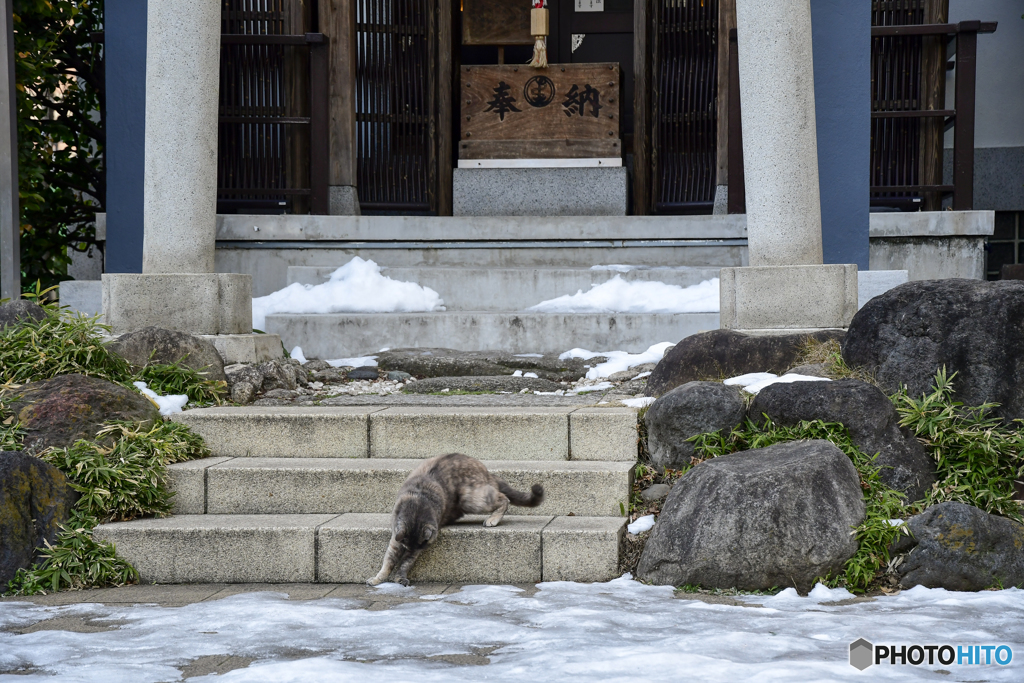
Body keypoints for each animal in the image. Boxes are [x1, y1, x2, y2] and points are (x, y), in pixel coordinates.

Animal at [366, 454, 544, 589]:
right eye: (407, 546)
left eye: (420, 547)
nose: (413, 549)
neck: (418, 504)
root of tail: (487, 471)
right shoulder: (397, 541)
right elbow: (388, 563)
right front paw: (380, 578)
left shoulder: (414, 547)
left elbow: (405, 563)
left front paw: (399, 576)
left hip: (471, 497)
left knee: (504, 498)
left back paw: (493, 519)